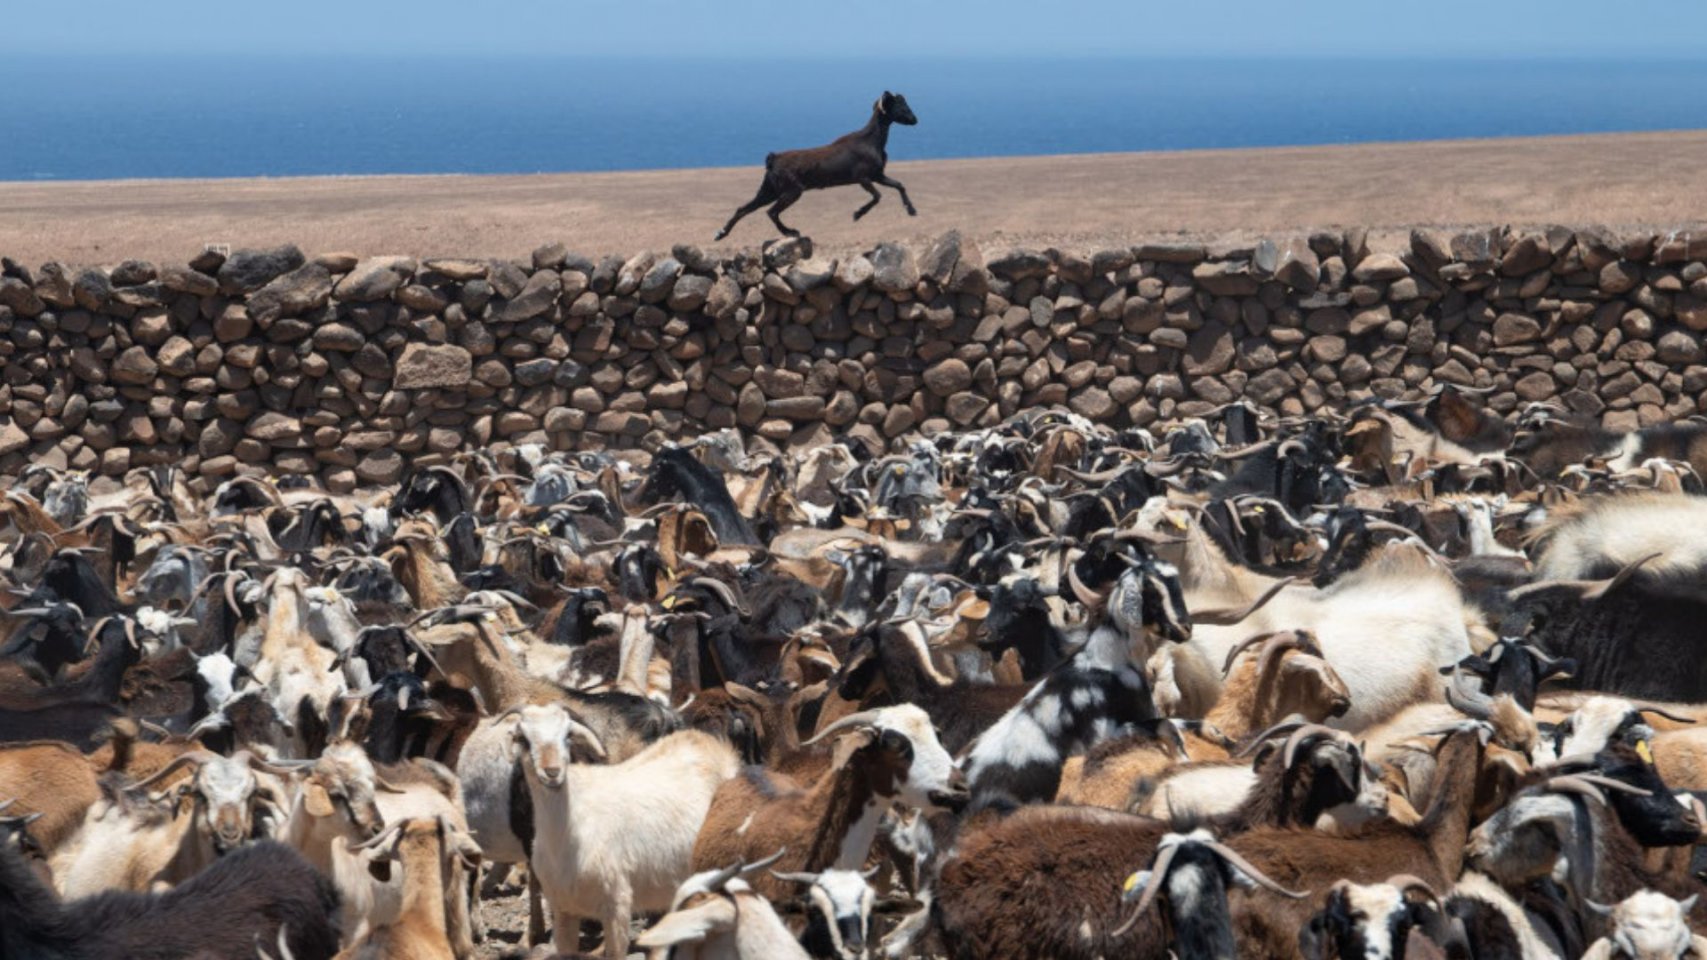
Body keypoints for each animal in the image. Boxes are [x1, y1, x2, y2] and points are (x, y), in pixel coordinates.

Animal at [714, 91, 918, 240]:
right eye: (900, 105)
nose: (915, 119)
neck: (872, 141)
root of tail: (772, 160)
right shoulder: (863, 178)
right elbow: (877, 196)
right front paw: (857, 214)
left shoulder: (878, 175)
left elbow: (899, 185)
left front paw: (912, 210)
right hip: (792, 190)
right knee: (771, 212)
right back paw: (790, 232)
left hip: (769, 190)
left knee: (744, 209)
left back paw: (721, 233)